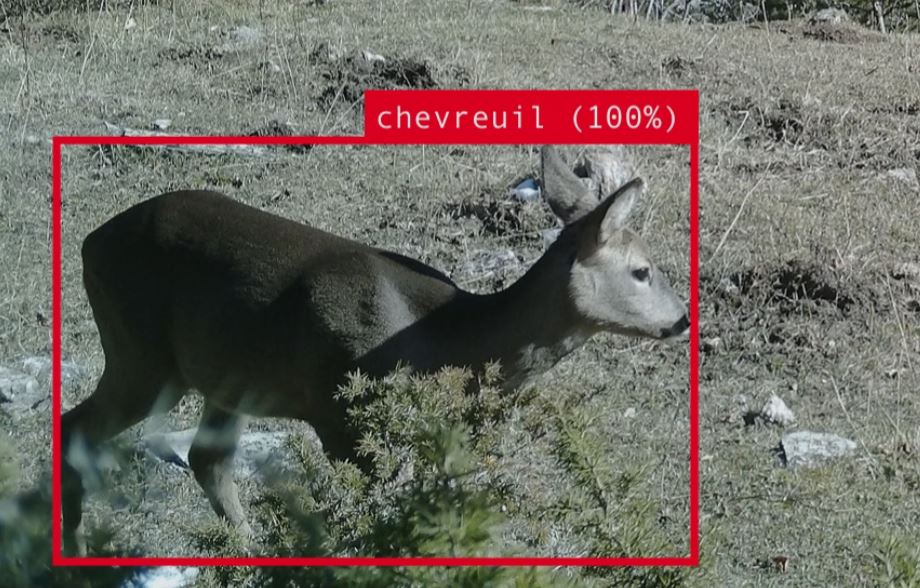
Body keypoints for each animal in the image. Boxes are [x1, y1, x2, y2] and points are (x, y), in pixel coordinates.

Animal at [60, 146, 689, 556]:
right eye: (642, 270)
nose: (682, 320)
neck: (445, 344)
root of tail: (90, 242)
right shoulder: (340, 414)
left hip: (229, 374)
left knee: (206, 459)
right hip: (141, 352)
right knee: (77, 425)